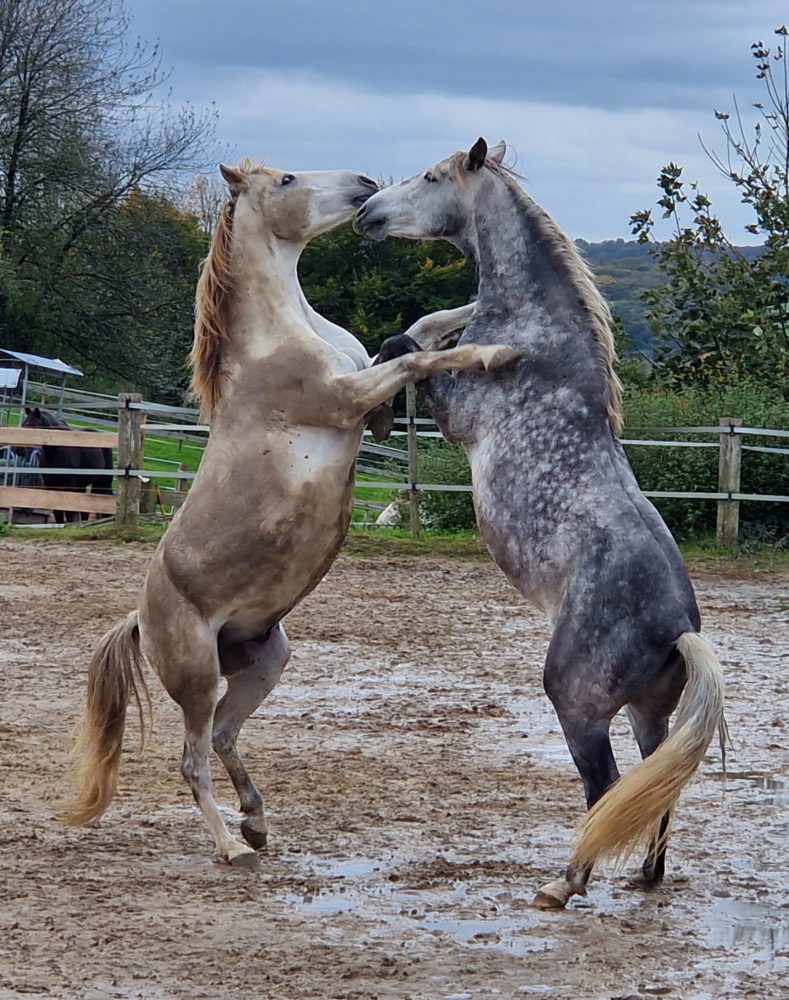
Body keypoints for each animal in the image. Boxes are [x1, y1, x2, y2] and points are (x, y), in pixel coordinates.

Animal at [64, 156, 516, 868]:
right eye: (285, 180)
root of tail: (140, 620)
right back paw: (231, 847)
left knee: (224, 737)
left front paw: (483, 304)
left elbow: (424, 326)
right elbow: (424, 352)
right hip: (196, 677)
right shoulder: (347, 397)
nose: (363, 185)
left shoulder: (369, 385)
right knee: (191, 758)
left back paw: (256, 821)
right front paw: (493, 351)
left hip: (265, 660)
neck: (282, 336)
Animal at [358, 137, 728, 912]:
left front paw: (380, 396)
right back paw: (645, 877)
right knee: (654, 789)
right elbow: (424, 328)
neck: (535, 328)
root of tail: (677, 627)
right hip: (650, 714)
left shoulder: (458, 414)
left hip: (577, 702)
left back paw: (566, 882)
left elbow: (410, 347)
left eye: (430, 178)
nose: (366, 212)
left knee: (604, 785)